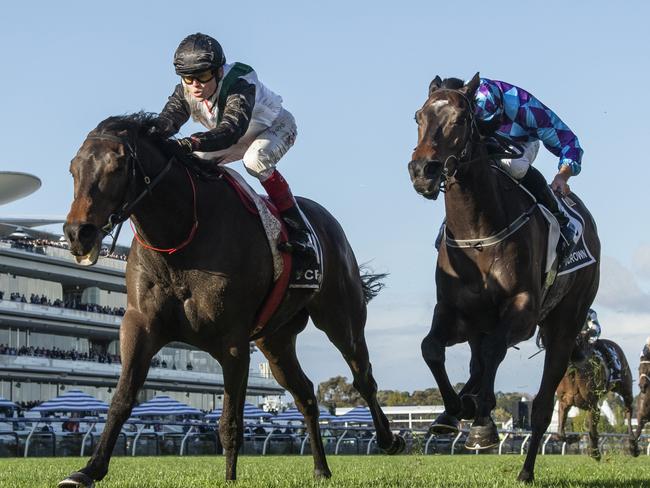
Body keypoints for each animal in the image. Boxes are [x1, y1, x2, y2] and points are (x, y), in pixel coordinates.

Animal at [62, 113, 404, 488]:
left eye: (118, 165)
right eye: (73, 168)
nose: (78, 234)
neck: (181, 237)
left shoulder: (233, 341)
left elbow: (229, 421)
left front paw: (229, 477)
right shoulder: (140, 325)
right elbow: (122, 400)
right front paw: (88, 470)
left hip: (342, 319)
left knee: (363, 377)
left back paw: (389, 440)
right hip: (276, 341)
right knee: (305, 394)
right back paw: (320, 468)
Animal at [408, 74, 600, 482]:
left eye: (461, 119)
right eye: (418, 116)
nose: (422, 171)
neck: (478, 235)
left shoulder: (524, 311)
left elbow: (494, 353)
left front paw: (480, 417)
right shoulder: (453, 311)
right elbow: (432, 348)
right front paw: (455, 411)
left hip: (564, 325)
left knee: (541, 406)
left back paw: (524, 470)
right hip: (481, 321)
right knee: (477, 362)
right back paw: (463, 410)